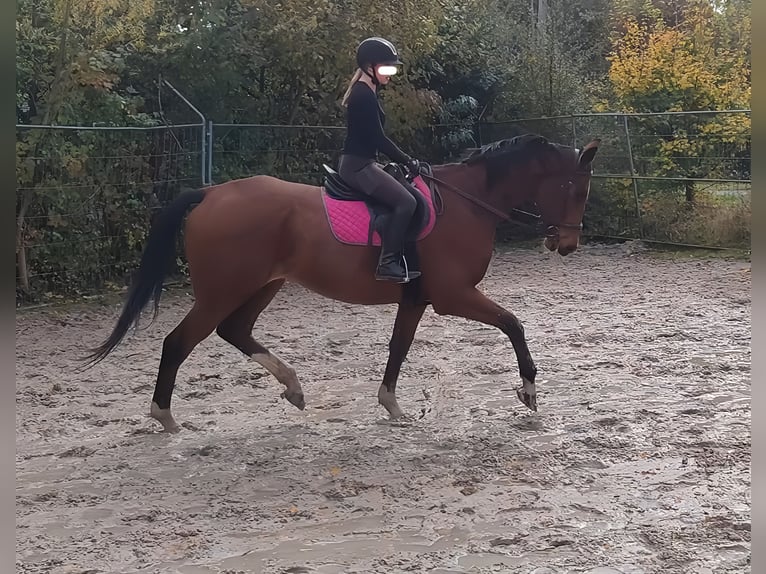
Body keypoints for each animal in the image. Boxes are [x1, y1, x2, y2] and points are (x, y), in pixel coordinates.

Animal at [84, 134, 600, 432]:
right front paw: (529, 391)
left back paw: (292, 388)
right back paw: (166, 418)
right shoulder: (453, 296)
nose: (568, 244)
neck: (466, 202)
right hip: (222, 291)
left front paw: (392, 405)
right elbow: (513, 323)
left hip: (262, 285)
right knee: (179, 341)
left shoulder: (417, 298)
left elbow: (399, 346)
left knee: (235, 330)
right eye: (576, 189)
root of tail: (211, 193)